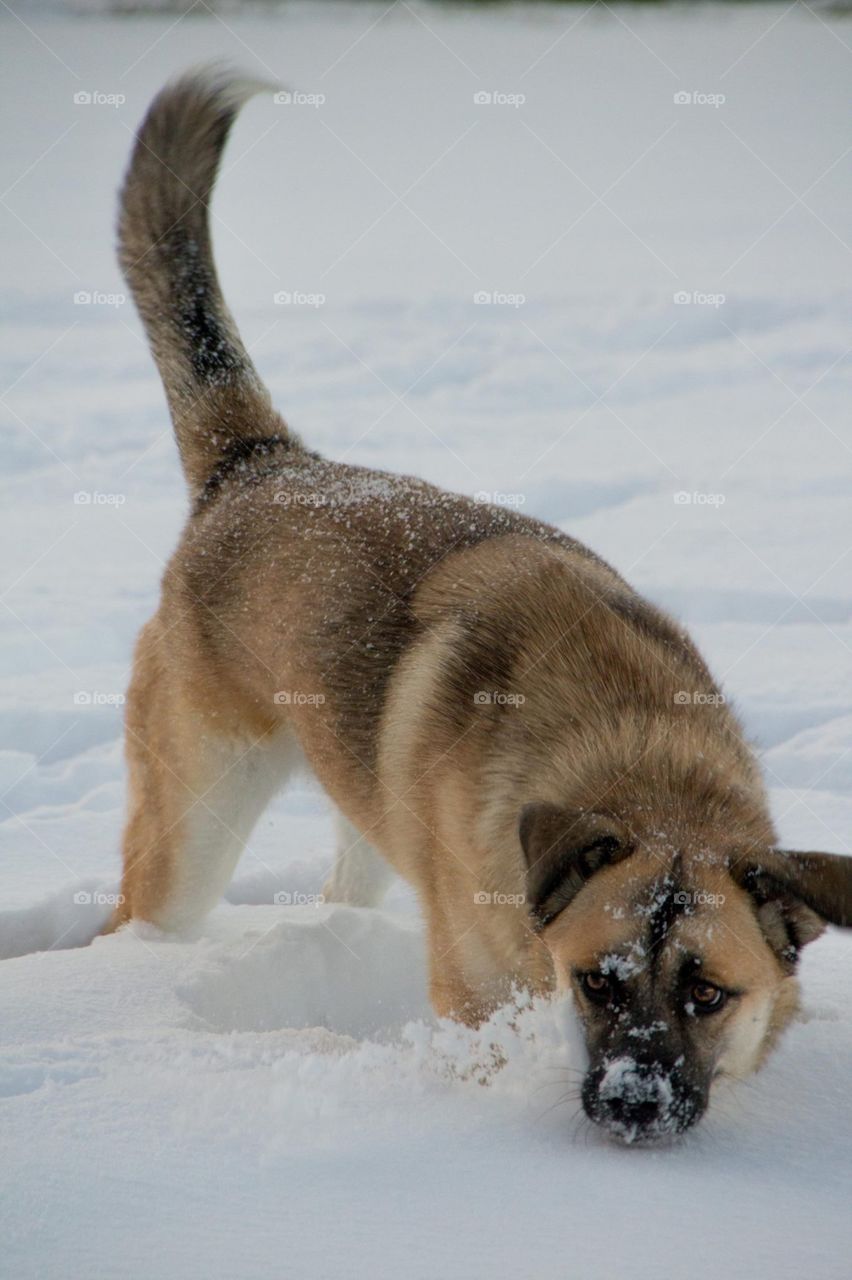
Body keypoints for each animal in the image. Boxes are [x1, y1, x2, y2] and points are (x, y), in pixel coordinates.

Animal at [108, 70, 849, 1146]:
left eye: (709, 993)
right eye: (595, 984)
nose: (634, 1106)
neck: (636, 756)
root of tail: (264, 466)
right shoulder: (481, 988)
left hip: (361, 803)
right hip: (195, 822)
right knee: (142, 914)